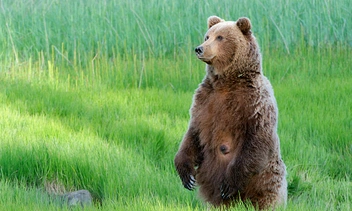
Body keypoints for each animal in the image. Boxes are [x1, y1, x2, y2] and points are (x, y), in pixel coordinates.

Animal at [175, 15, 288, 210]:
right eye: (207, 36)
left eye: (220, 37)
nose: (199, 48)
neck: (226, 82)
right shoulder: (204, 100)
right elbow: (193, 133)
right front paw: (187, 176)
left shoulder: (254, 101)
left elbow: (258, 136)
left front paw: (228, 184)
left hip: (265, 181)